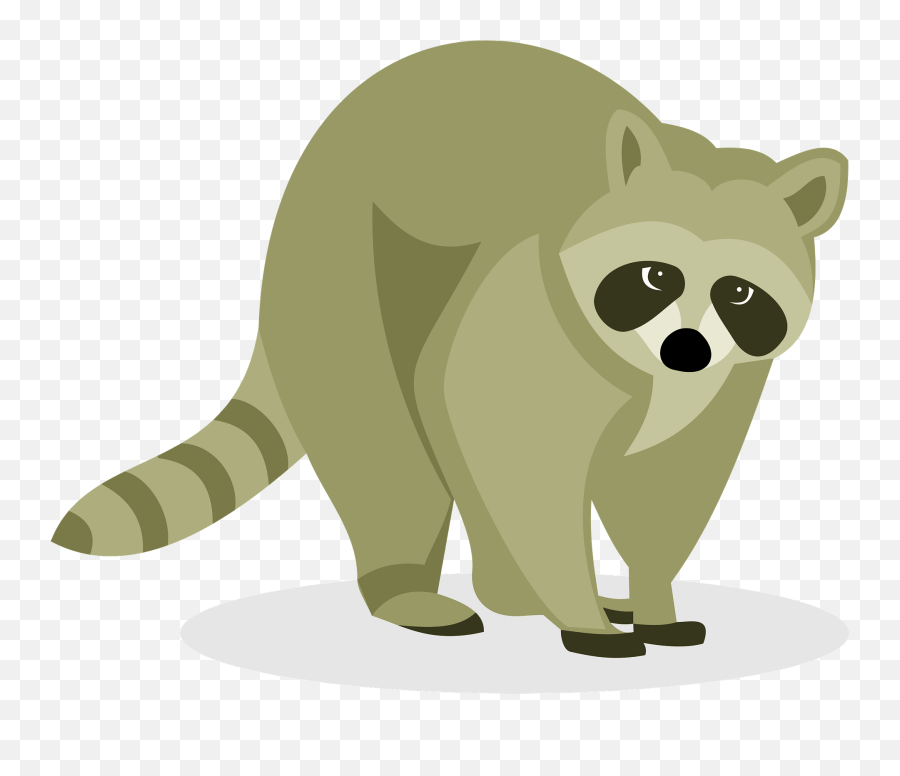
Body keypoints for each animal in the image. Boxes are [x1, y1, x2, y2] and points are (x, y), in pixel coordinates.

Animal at [53, 41, 848, 658]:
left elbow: (668, 484)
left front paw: (653, 598)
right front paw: (580, 613)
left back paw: (515, 592)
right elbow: (512, 450)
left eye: (739, 293)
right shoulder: (529, 310)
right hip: (339, 258)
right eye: (656, 276)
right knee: (391, 440)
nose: (686, 349)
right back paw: (412, 590)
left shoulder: (729, 381)